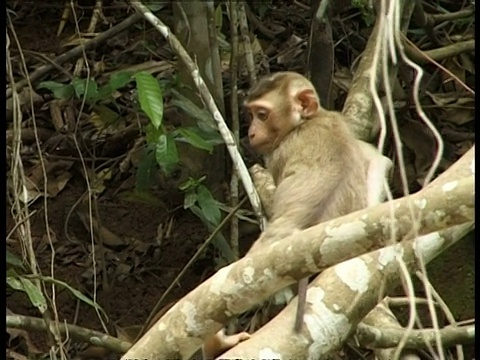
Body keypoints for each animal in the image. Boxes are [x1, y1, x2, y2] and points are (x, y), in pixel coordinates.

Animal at [244, 71, 390, 334]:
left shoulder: (278, 154)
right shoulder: (340, 121)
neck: (308, 121)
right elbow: (377, 159)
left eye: (262, 114)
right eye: (251, 114)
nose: (250, 132)